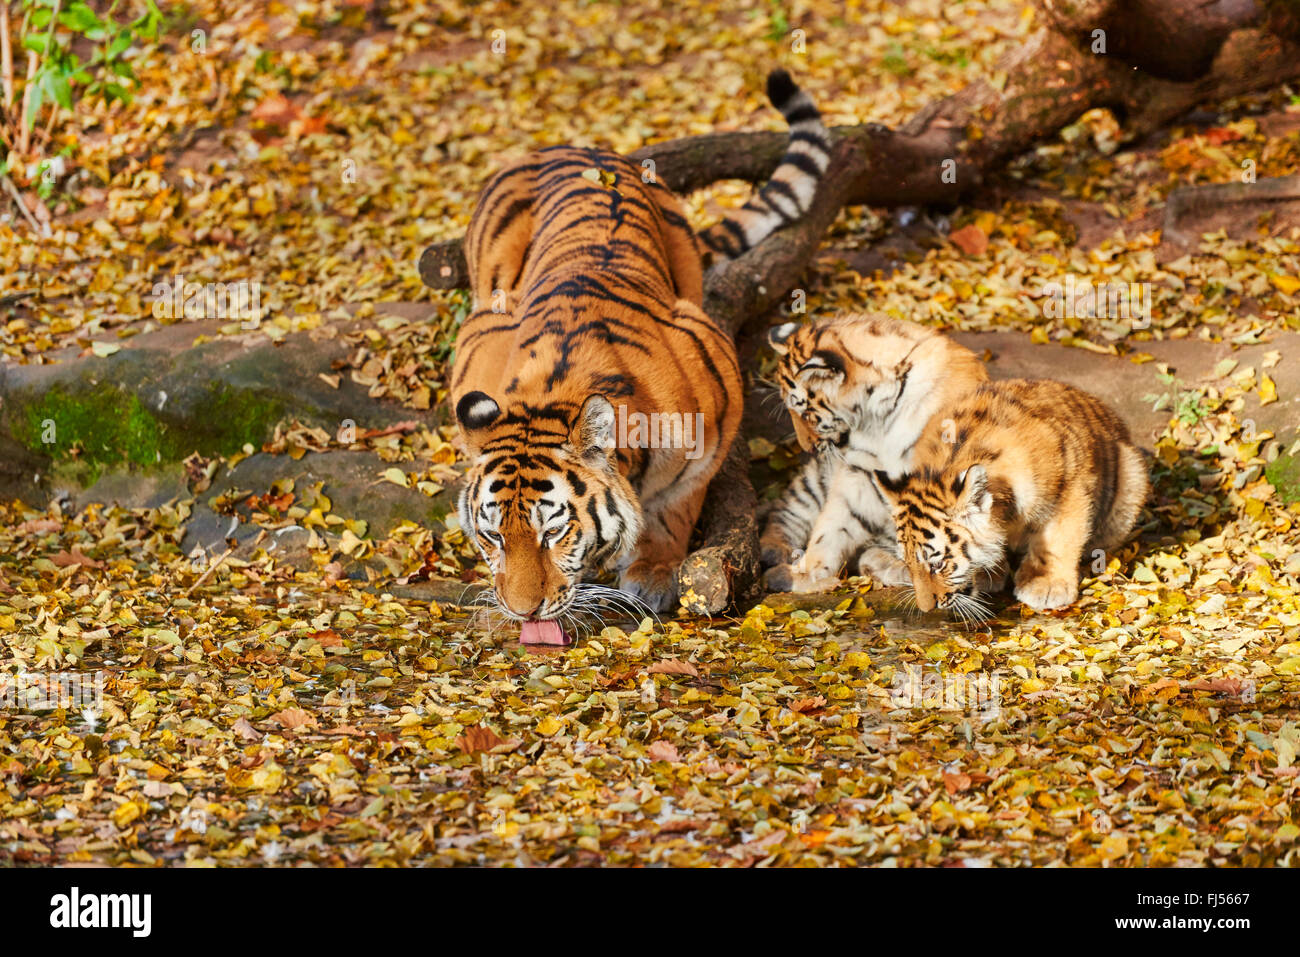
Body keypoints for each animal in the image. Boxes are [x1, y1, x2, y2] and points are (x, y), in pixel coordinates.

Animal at [452, 67, 826, 639]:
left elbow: (674, 508)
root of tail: (573, 145)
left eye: (552, 533)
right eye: (493, 536)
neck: (552, 391)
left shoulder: (712, 415)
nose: (522, 611)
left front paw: (652, 573)